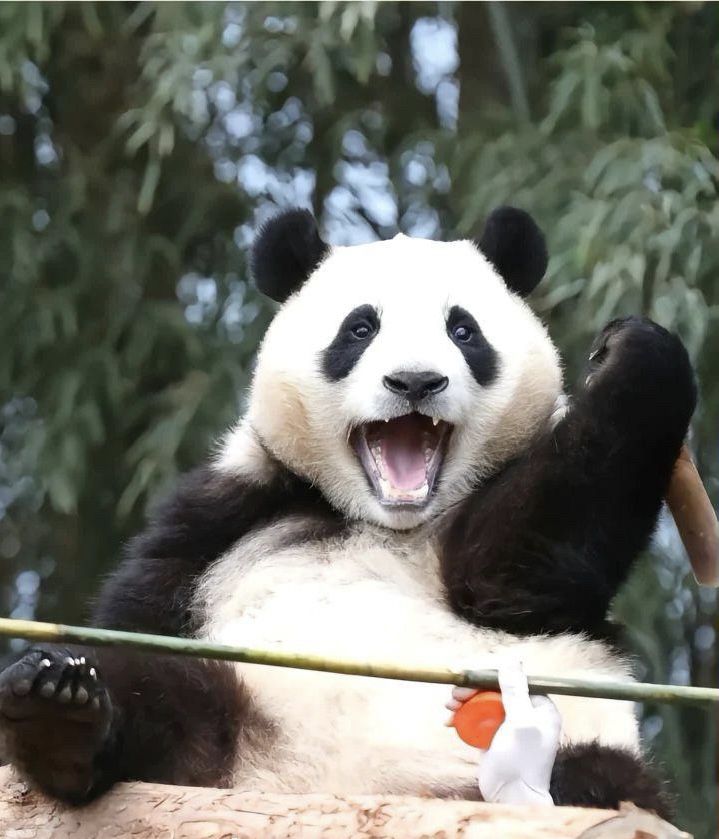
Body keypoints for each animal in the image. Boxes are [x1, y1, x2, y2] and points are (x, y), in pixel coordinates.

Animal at [0, 207, 696, 816]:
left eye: (463, 331)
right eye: (361, 329)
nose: (415, 382)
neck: (387, 519)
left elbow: (520, 565)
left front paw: (634, 354)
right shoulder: (232, 510)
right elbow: (137, 616)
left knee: (607, 775)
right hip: (235, 701)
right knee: (160, 692)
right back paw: (60, 711)